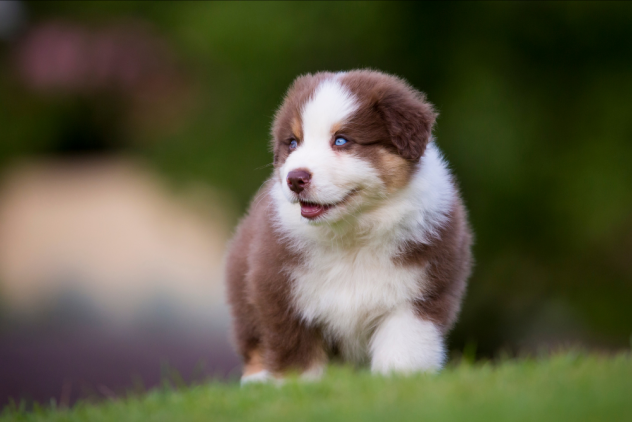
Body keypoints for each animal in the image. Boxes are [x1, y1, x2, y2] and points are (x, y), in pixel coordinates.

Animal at [225, 69, 472, 382]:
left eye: (341, 141)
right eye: (292, 143)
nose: (295, 178)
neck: (352, 233)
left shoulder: (422, 291)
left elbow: (404, 344)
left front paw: (399, 380)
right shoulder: (278, 287)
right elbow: (294, 347)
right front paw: (296, 386)